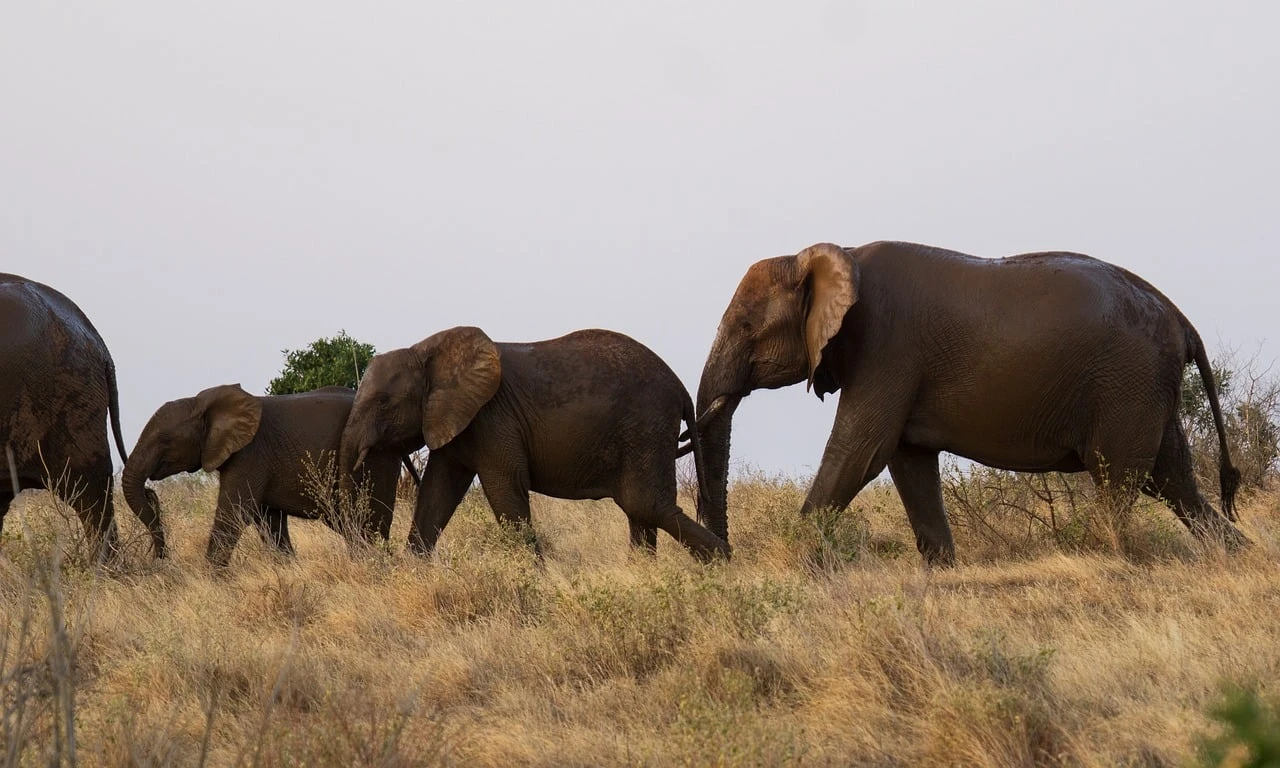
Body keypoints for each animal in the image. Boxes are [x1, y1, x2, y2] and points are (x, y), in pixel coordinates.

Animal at [123, 383, 418, 567]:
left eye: (165, 440)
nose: (160, 558)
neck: (202, 402)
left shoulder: (250, 454)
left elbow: (235, 512)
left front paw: (211, 578)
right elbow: (268, 520)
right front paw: (288, 567)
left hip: (375, 458)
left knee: (367, 519)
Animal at [339, 326, 729, 562]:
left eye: (384, 402)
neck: (425, 352)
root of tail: (680, 386)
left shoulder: (492, 418)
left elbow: (506, 489)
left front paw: (535, 578)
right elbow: (437, 492)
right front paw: (413, 569)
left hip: (646, 425)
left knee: (645, 505)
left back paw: (722, 563)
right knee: (640, 511)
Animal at [693, 240, 1247, 565]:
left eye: (747, 327)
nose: (726, 557)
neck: (829, 253)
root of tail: (1182, 319)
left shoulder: (886, 347)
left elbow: (860, 451)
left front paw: (799, 562)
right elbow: (907, 460)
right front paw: (941, 569)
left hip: (1127, 382)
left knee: (1120, 475)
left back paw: (1110, 559)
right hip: (1146, 387)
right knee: (1171, 478)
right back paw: (1242, 557)